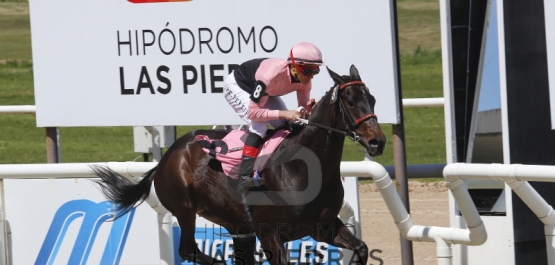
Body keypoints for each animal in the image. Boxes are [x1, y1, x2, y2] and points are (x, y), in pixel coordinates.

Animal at [91, 64, 386, 264]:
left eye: (372, 99)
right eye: (350, 101)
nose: (378, 142)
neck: (304, 167)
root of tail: (167, 156)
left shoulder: (322, 226)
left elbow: (361, 247)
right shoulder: (270, 235)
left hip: (238, 226)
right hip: (185, 208)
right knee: (188, 249)